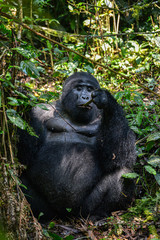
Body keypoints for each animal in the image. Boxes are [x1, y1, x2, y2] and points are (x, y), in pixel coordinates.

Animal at [18, 71, 136, 221]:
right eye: (79, 88)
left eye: (90, 89)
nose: (85, 97)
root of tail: (67, 215)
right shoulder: (39, 111)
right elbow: (26, 154)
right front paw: (22, 105)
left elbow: (119, 157)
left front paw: (107, 100)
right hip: (51, 211)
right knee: (19, 175)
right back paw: (41, 218)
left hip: (83, 210)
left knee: (124, 172)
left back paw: (98, 214)